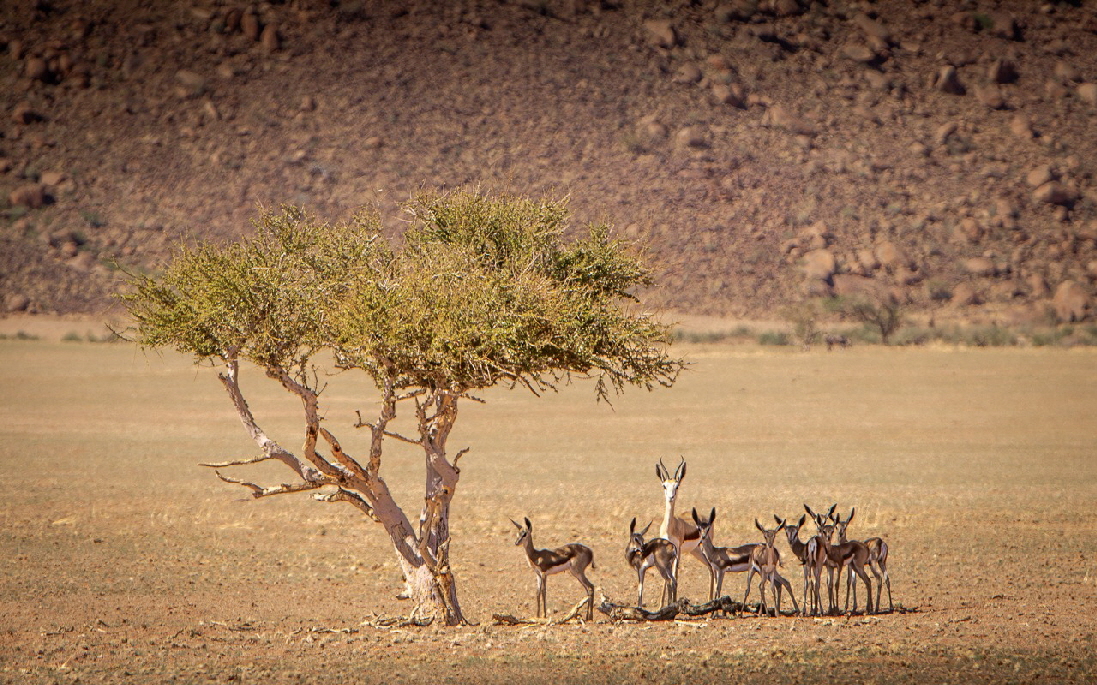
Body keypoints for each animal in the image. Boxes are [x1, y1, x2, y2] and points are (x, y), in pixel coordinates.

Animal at [653, 456, 706, 584]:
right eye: (664, 485)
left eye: (677, 486)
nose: (670, 497)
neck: (670, 528)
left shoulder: (678, 550)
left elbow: (675, 576)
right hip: (695, 550)